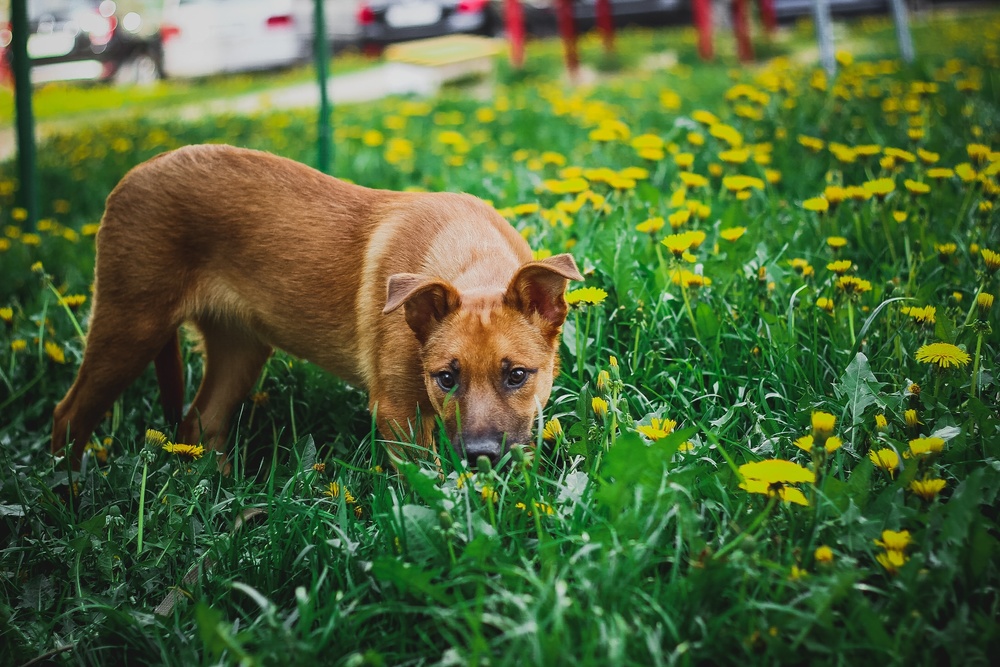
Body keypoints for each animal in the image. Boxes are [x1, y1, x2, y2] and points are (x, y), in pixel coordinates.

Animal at [52, 145, 584, 470]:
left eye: (517, 375)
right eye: (446, 378)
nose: (480, 456)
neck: (470, 258)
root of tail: (136, 172)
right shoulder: (398, 414)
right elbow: (428, 485)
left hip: (239, 352)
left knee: (200, 423)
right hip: (129, 328)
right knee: (68, 415)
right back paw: (68, 500)